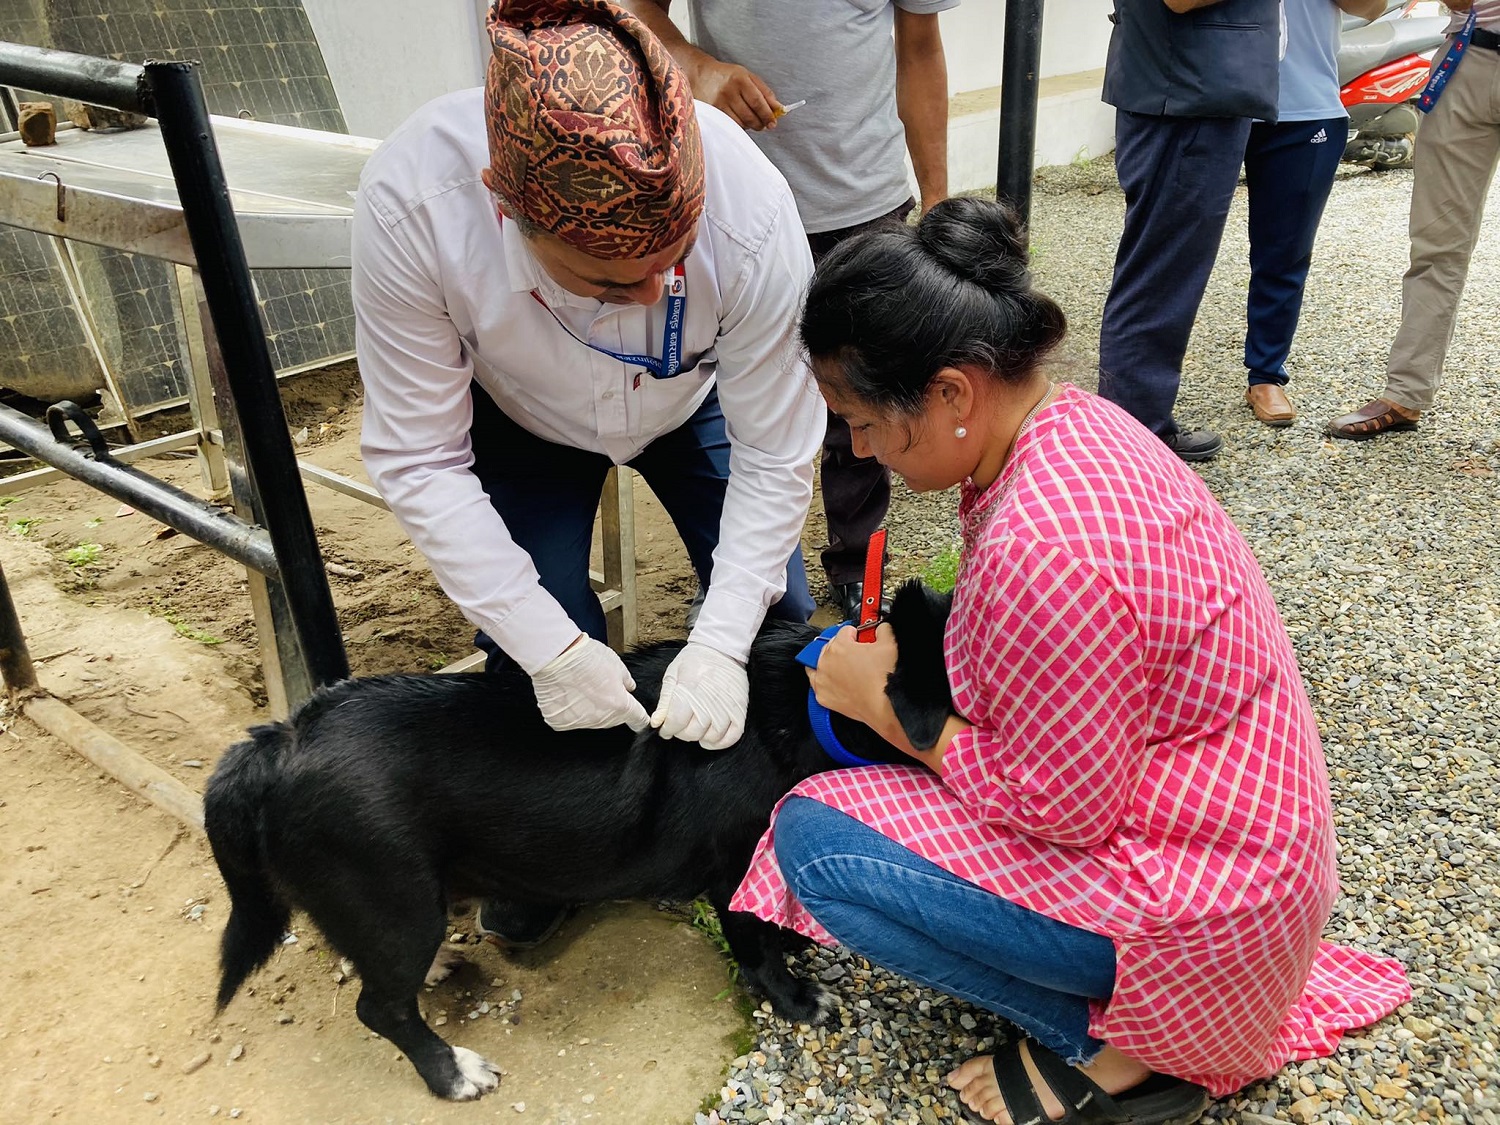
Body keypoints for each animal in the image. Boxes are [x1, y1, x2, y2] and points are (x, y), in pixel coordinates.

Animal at [205, 582, 954, 1104]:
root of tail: (279, 740)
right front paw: (795, 997)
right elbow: (755, 945)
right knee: (379, 1005)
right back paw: (452, 1073)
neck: (808, 706)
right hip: (395, 902)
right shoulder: (732, 869)